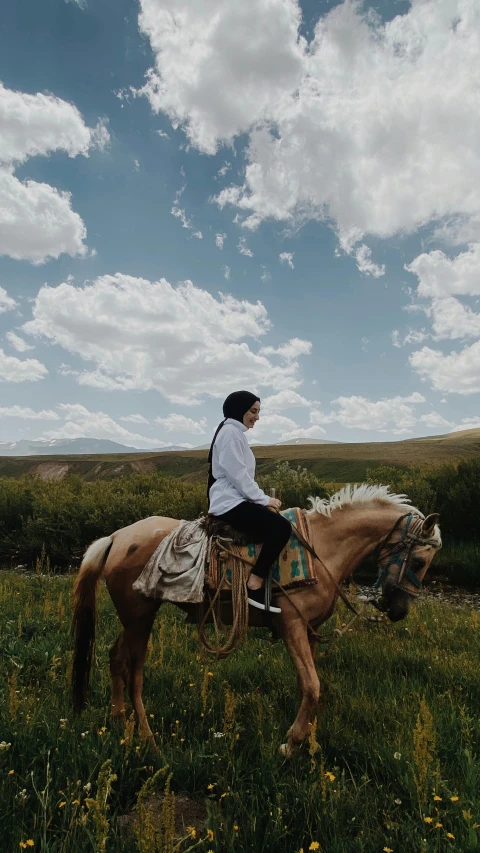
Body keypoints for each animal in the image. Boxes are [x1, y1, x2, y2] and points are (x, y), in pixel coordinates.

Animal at [69, 482, 440, 756]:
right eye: (419, 561)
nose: (398, 610)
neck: (323, 548)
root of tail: (116, 537)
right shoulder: (291, 626)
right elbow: (312, 685)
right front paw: (291, 744)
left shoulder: (311, 630)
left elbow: (309, 686)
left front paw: (308, 741)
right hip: (140, 617)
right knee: (135, 674)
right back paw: (147, 739)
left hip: (132, 619)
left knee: (115, 657)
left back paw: (118, 719)